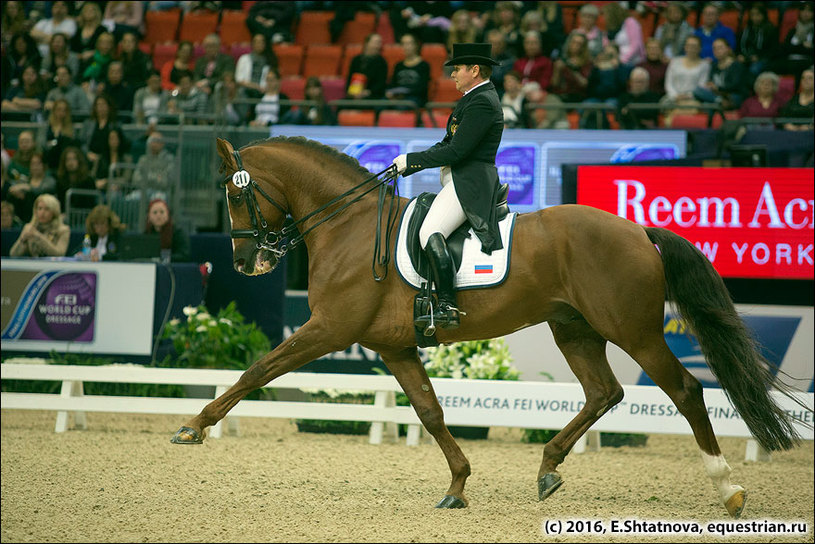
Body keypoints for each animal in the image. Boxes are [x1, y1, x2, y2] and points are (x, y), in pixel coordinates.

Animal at [171, 136, 804, 520]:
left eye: (235, 195)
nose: (246, 263)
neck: (347, 225)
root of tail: (636, 229)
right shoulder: (393, 347)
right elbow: (430, 412)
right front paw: (457, 486)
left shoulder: (327, 328)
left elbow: (257, 370)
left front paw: (193, 427)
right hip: (574, 329)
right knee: (604, 392)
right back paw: (548, 470)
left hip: (635, 331)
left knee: (686, 390)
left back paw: (729, 489)